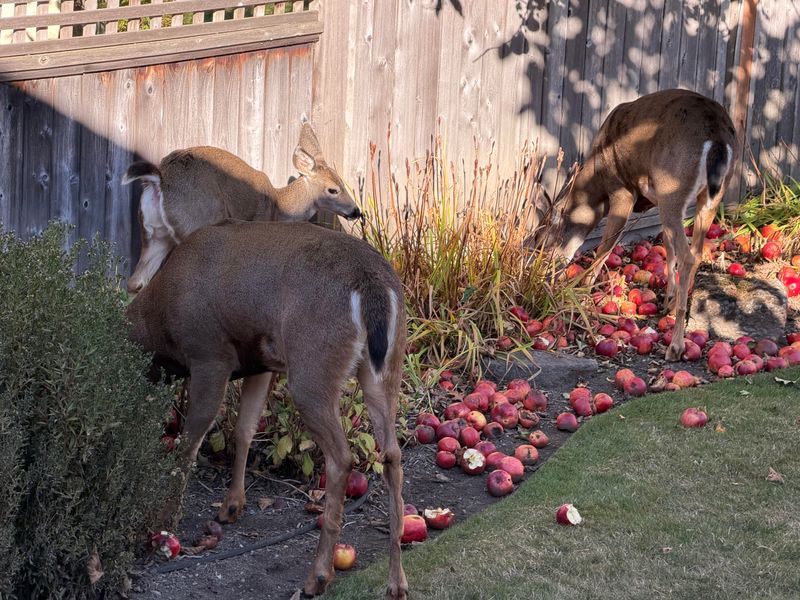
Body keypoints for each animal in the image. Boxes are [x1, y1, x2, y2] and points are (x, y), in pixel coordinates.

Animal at [121, 122, 361, 295]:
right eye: (333, 189)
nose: (356, 211)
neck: (279, 206)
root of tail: (160, 179)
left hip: (154, 234)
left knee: (135, 282)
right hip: (196, 222)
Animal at [126, 219, 408, 599]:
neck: (161, 323)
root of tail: (374, 286)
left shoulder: (210, 355)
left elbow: (188, 444)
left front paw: (165, 519)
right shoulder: (260, 363)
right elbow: (244, 429)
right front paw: (231, 506)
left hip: (311, 367)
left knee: (342, 458)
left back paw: (318, 577)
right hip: (385, 367)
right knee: (392, 454)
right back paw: (396, 582)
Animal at [534, 89, 737, 362]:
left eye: (541, 242)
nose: (538, 276)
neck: (594, 182)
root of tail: (718, 139)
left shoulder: (622, 190)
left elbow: (606, 246)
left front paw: (583, 292)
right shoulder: (654, 198)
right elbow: (666, 243)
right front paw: (669, 298)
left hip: (672, 187)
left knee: (688, 255)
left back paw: (675, 347)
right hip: (708, 197)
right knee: (695, 251)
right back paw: (678, 310)